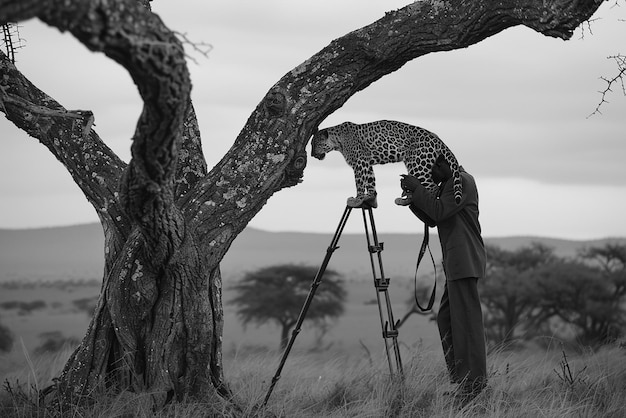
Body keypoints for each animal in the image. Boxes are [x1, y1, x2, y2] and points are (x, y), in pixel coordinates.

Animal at [310, 120, 460, 208]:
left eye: (314, 144)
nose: (311, 154)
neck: (338, 141)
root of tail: (437, 138)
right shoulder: (366, 162)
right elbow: (370, 181)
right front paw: (370, 198)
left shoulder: (359, 162)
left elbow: (359, 182)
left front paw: (357, 199)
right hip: (413, 164)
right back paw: (405, 200)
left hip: (419, 165)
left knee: (433, 187)